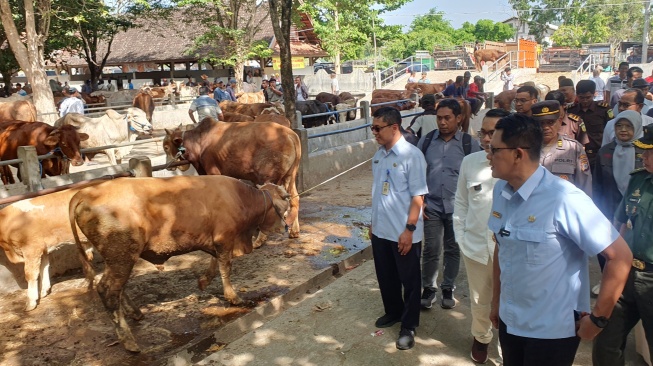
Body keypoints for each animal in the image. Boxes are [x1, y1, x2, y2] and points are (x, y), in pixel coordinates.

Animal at [69, 176, 290, 354]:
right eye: (285, 201)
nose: (285, 227)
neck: (241, 198)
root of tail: (85, 193)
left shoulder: (216, 241)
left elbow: (215, 263)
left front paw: (203, 282)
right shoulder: (224, 239)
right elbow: (225, 267)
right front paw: (233, 297)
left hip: (119, 258)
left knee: (118, 289)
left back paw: (136, 313)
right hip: (121, 256)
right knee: (108, 290)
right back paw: (129, 342)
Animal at [163, 118, 300, 242]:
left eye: (166, 147)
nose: (169, 166)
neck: (199, 141)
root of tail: (290, 134)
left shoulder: (213, 172)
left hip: (267, 177)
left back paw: (259, 240)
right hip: (290, 175)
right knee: (294, 198)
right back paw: (294, 231)